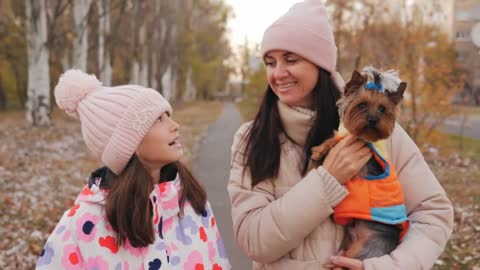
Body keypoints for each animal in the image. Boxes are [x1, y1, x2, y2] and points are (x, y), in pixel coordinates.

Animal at [312, 67, 408, 264]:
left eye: (382, 109)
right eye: (362, 105)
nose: (372, 119)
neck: (364, 137)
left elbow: (336, 140)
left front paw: (318, 151)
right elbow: (337, 137)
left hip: (363, 251)